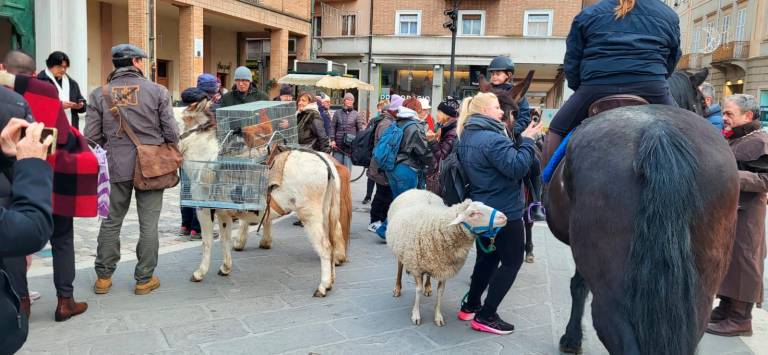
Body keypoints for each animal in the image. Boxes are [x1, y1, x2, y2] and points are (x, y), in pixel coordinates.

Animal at [388, 191, 508, 326]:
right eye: (473, 213)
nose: (504, 217)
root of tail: (419, 190)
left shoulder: (444, 267)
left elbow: (441, 292)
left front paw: (438, 317)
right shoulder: (416, 267)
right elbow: (418, 290)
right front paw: (416, 315)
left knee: (428, 276)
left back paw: (428, 287)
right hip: (401, 250)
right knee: (399, 268)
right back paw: (397, 288)